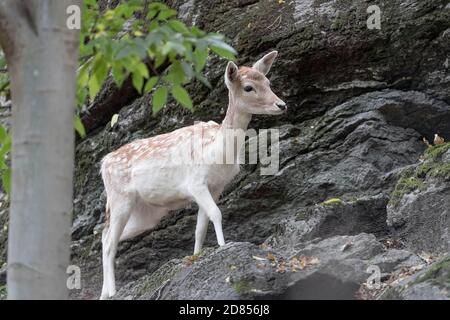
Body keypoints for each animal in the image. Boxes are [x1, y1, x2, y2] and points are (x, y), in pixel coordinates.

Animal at [100, 51, 286, 298]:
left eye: (268, 82)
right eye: (248, 87)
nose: (282, 105)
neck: (218, 152)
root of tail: (103, 164)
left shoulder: (216, 187)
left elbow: (200, 228)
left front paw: (197, 257)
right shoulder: (195, 183)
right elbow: (217, 214)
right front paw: (224, 247)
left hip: (146, 213)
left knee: (105, 237)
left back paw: (103, 292)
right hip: (120, 198)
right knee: (110, 242)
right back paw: (112, 292)